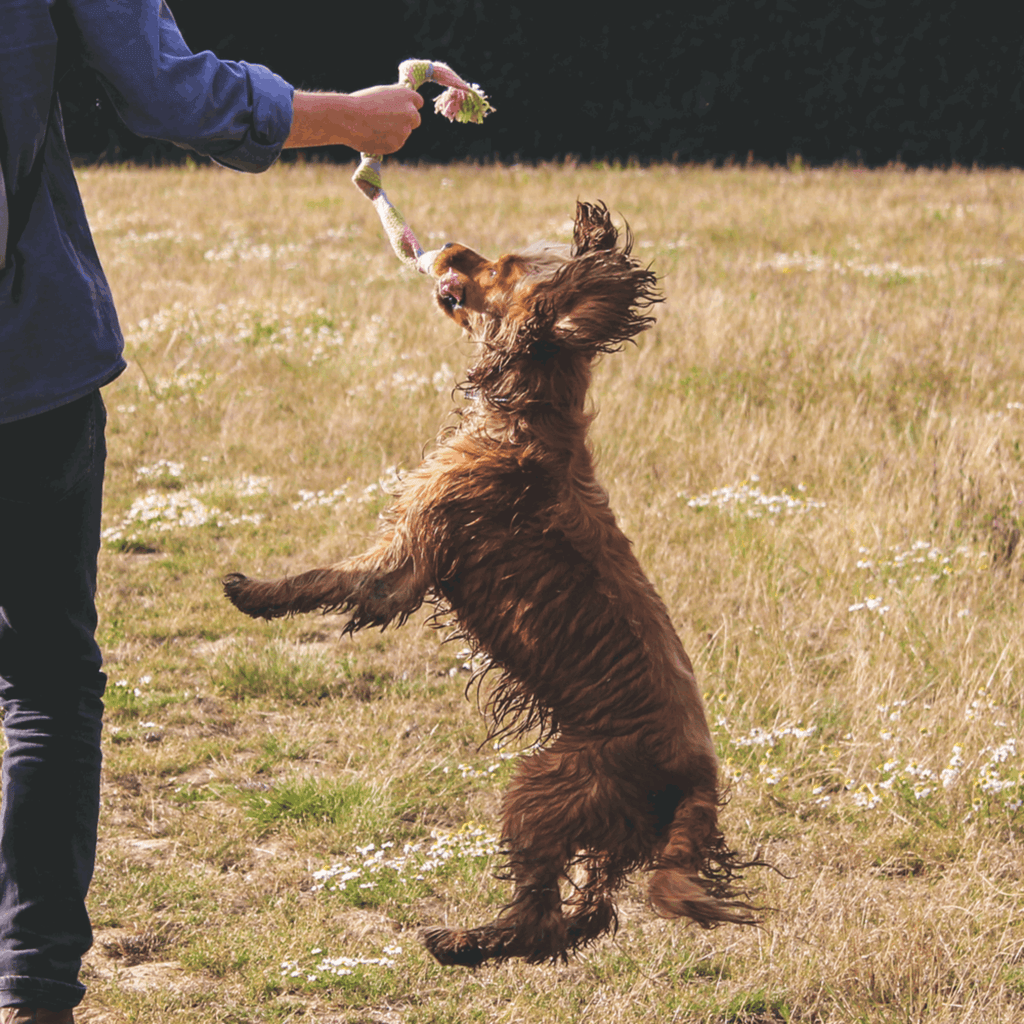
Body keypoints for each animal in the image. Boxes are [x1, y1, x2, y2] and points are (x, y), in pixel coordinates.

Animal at [222, 201, 753, 966]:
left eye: (498, 267)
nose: (450, 245)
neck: (527, 418)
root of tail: (698, 779)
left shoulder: (405, 561)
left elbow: (329, 577)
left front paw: (254, 591)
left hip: (545, 784)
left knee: (541, 911)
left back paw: (461, 941)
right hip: (603, 816)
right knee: (588, 912)